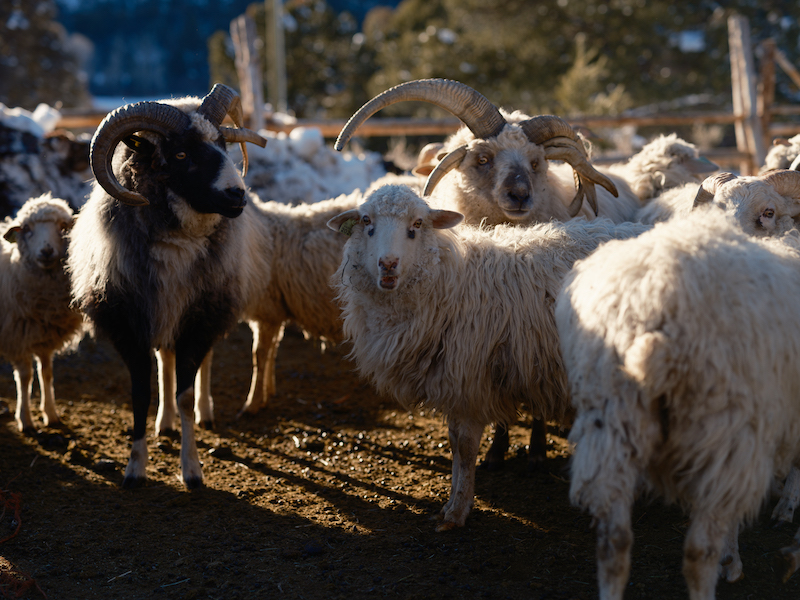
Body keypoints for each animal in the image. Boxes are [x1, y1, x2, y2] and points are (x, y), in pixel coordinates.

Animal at [0, 195, 84, 434]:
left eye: (63, 227)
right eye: (27, 228)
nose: (46, 251)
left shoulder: (45, 336)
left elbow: (46, 372)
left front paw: (51, 414)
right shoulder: (17, 337)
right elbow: (25, 377)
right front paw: (25, 419)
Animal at [67, 83, 268, 488]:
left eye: (223, 146)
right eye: (180, 154)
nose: (237, 195)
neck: (177, 245)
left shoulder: (199, 321)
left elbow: (186, 393)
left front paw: (192, 470)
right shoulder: (130, 327)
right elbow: (141, 393)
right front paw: (135, 468)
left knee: (200, 364)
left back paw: (204, 413)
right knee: (165, 359)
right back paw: (165, 422)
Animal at [328, 183, 648, 528]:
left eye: (417, 224)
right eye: (366, 221)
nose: (388, 264)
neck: (449, 280)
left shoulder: (470, 381)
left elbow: (465, 448)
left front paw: (457, 512)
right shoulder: (454, 383)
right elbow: (455, 445)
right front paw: (451, 504)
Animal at [556, 209, 800, 596]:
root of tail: (658, 302)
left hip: (612, 418)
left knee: (614, 542)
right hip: (722, 424)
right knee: (700, 550)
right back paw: (725, 566)